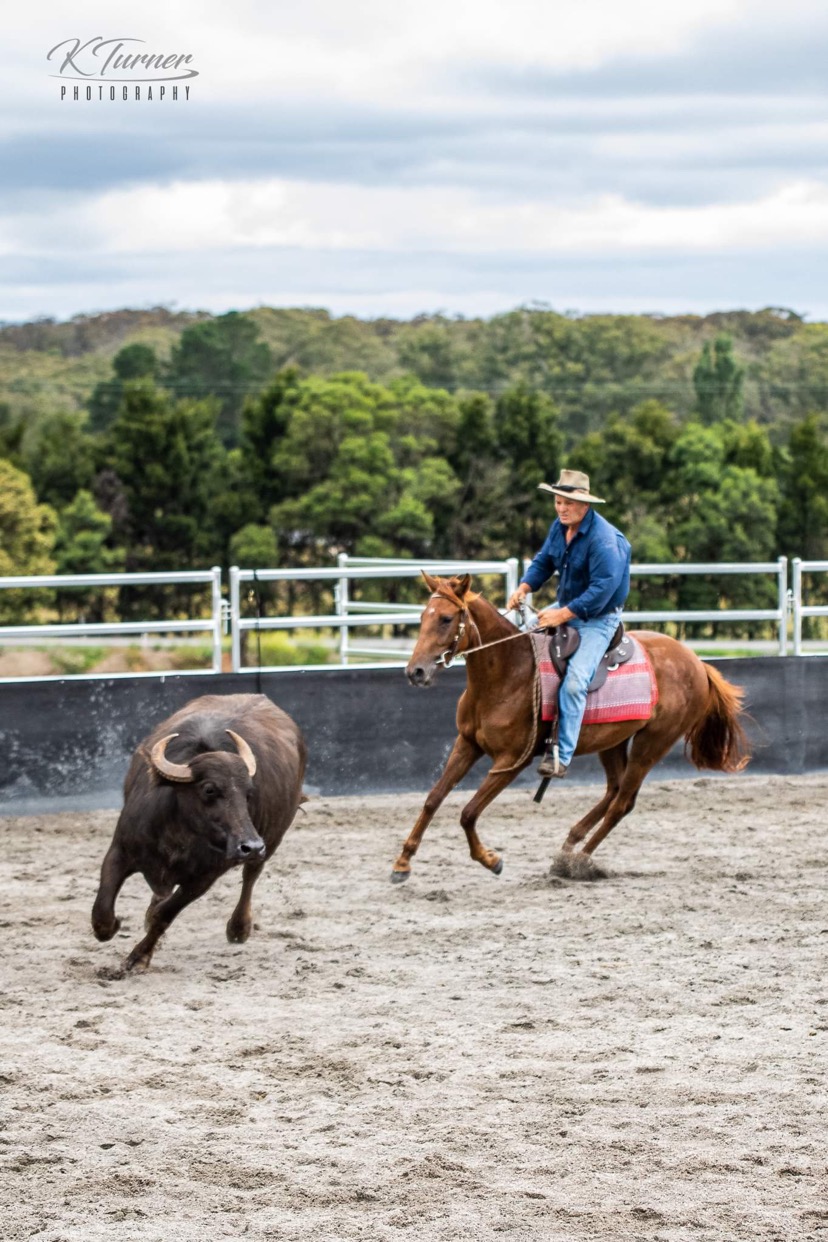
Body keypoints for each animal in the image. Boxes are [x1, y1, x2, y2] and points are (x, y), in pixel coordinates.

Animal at [91, 693, 307, 971]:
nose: (251, 846)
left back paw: (239, 928)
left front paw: (139, 957)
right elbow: (103, 910)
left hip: (272, 838)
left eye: (248, 793)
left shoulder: (203, 878)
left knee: (250, 876)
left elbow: (165, 916)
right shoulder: (120, 851)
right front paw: (113, 927)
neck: (177, 835)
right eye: (209, 789)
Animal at [391, 572, 749, 883]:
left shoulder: (511, 761)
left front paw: (491, 859)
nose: (415, 672)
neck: (508, 673)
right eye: (424, 616)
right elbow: (433, 798)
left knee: (623, 803)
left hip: (652, 744)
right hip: (614, 741)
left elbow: (468, 812)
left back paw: (576, 862)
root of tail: (698, 663)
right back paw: (570, 842)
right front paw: (402, 862)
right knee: (614, 790)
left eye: (446, 619)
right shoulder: (467, 743)